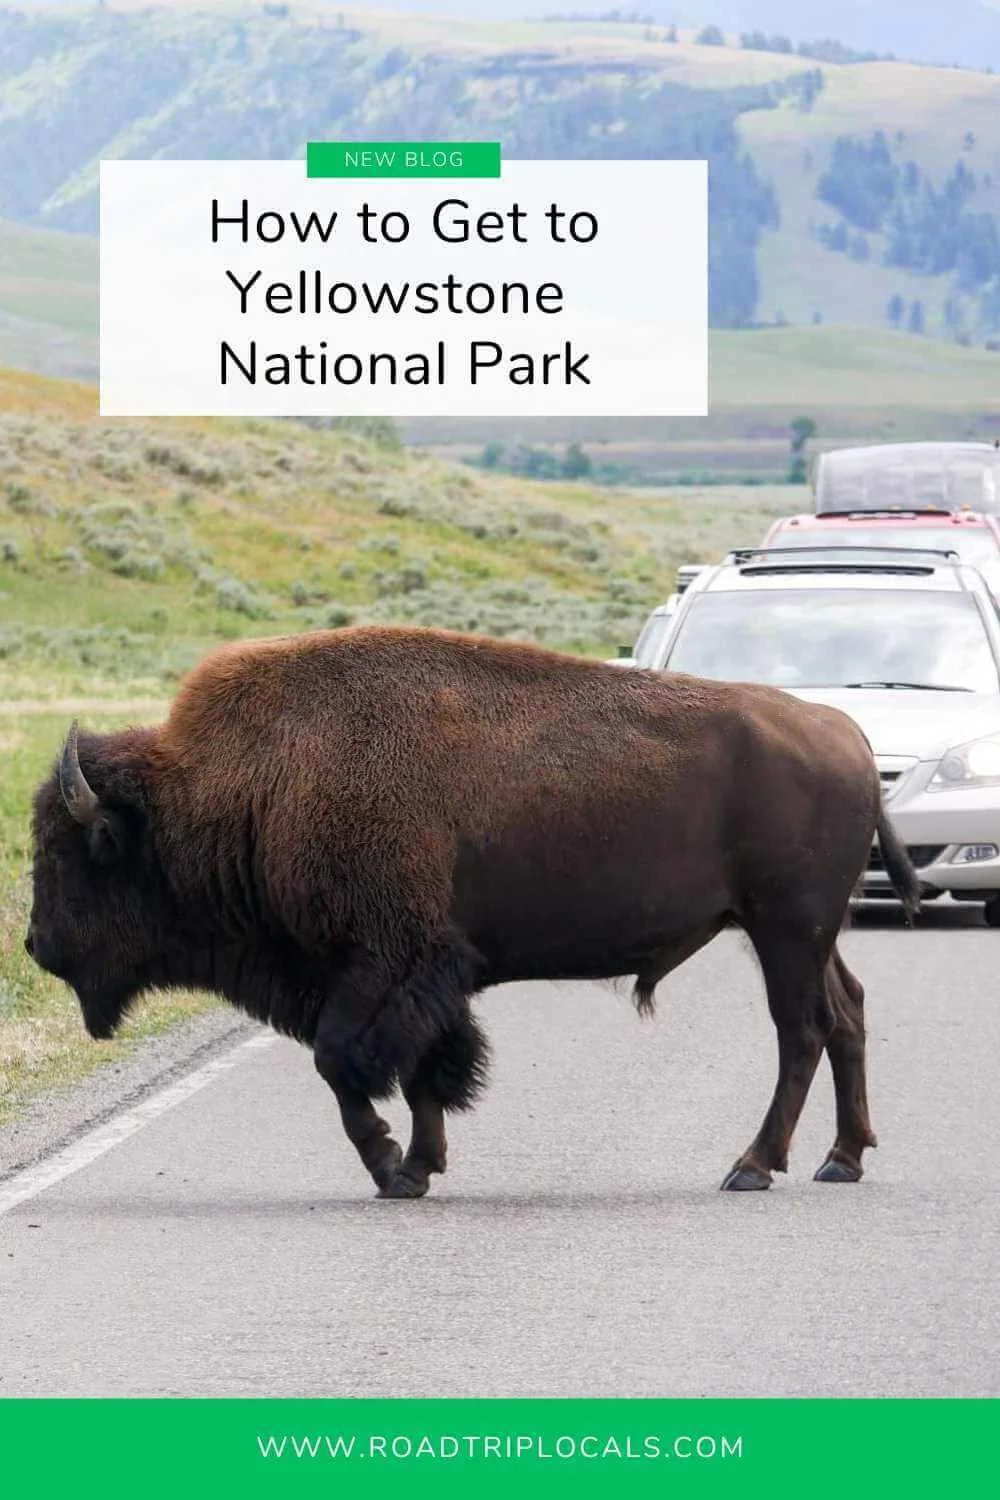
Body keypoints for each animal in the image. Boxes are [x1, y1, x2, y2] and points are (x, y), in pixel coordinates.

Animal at [25, 625, 919, 1197]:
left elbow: (345, 1063)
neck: (249, 783)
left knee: (801, 1030)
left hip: (783, 929)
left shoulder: (382, 965)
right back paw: (842, 1159)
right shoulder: (420, 976)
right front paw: (420, 1167)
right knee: (846, 1013)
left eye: (72, 854)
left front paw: (390, 1166)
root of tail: (844, 732)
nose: (35, 945)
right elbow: (425, 1067)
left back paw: (753, 1166)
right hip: (802, 932)